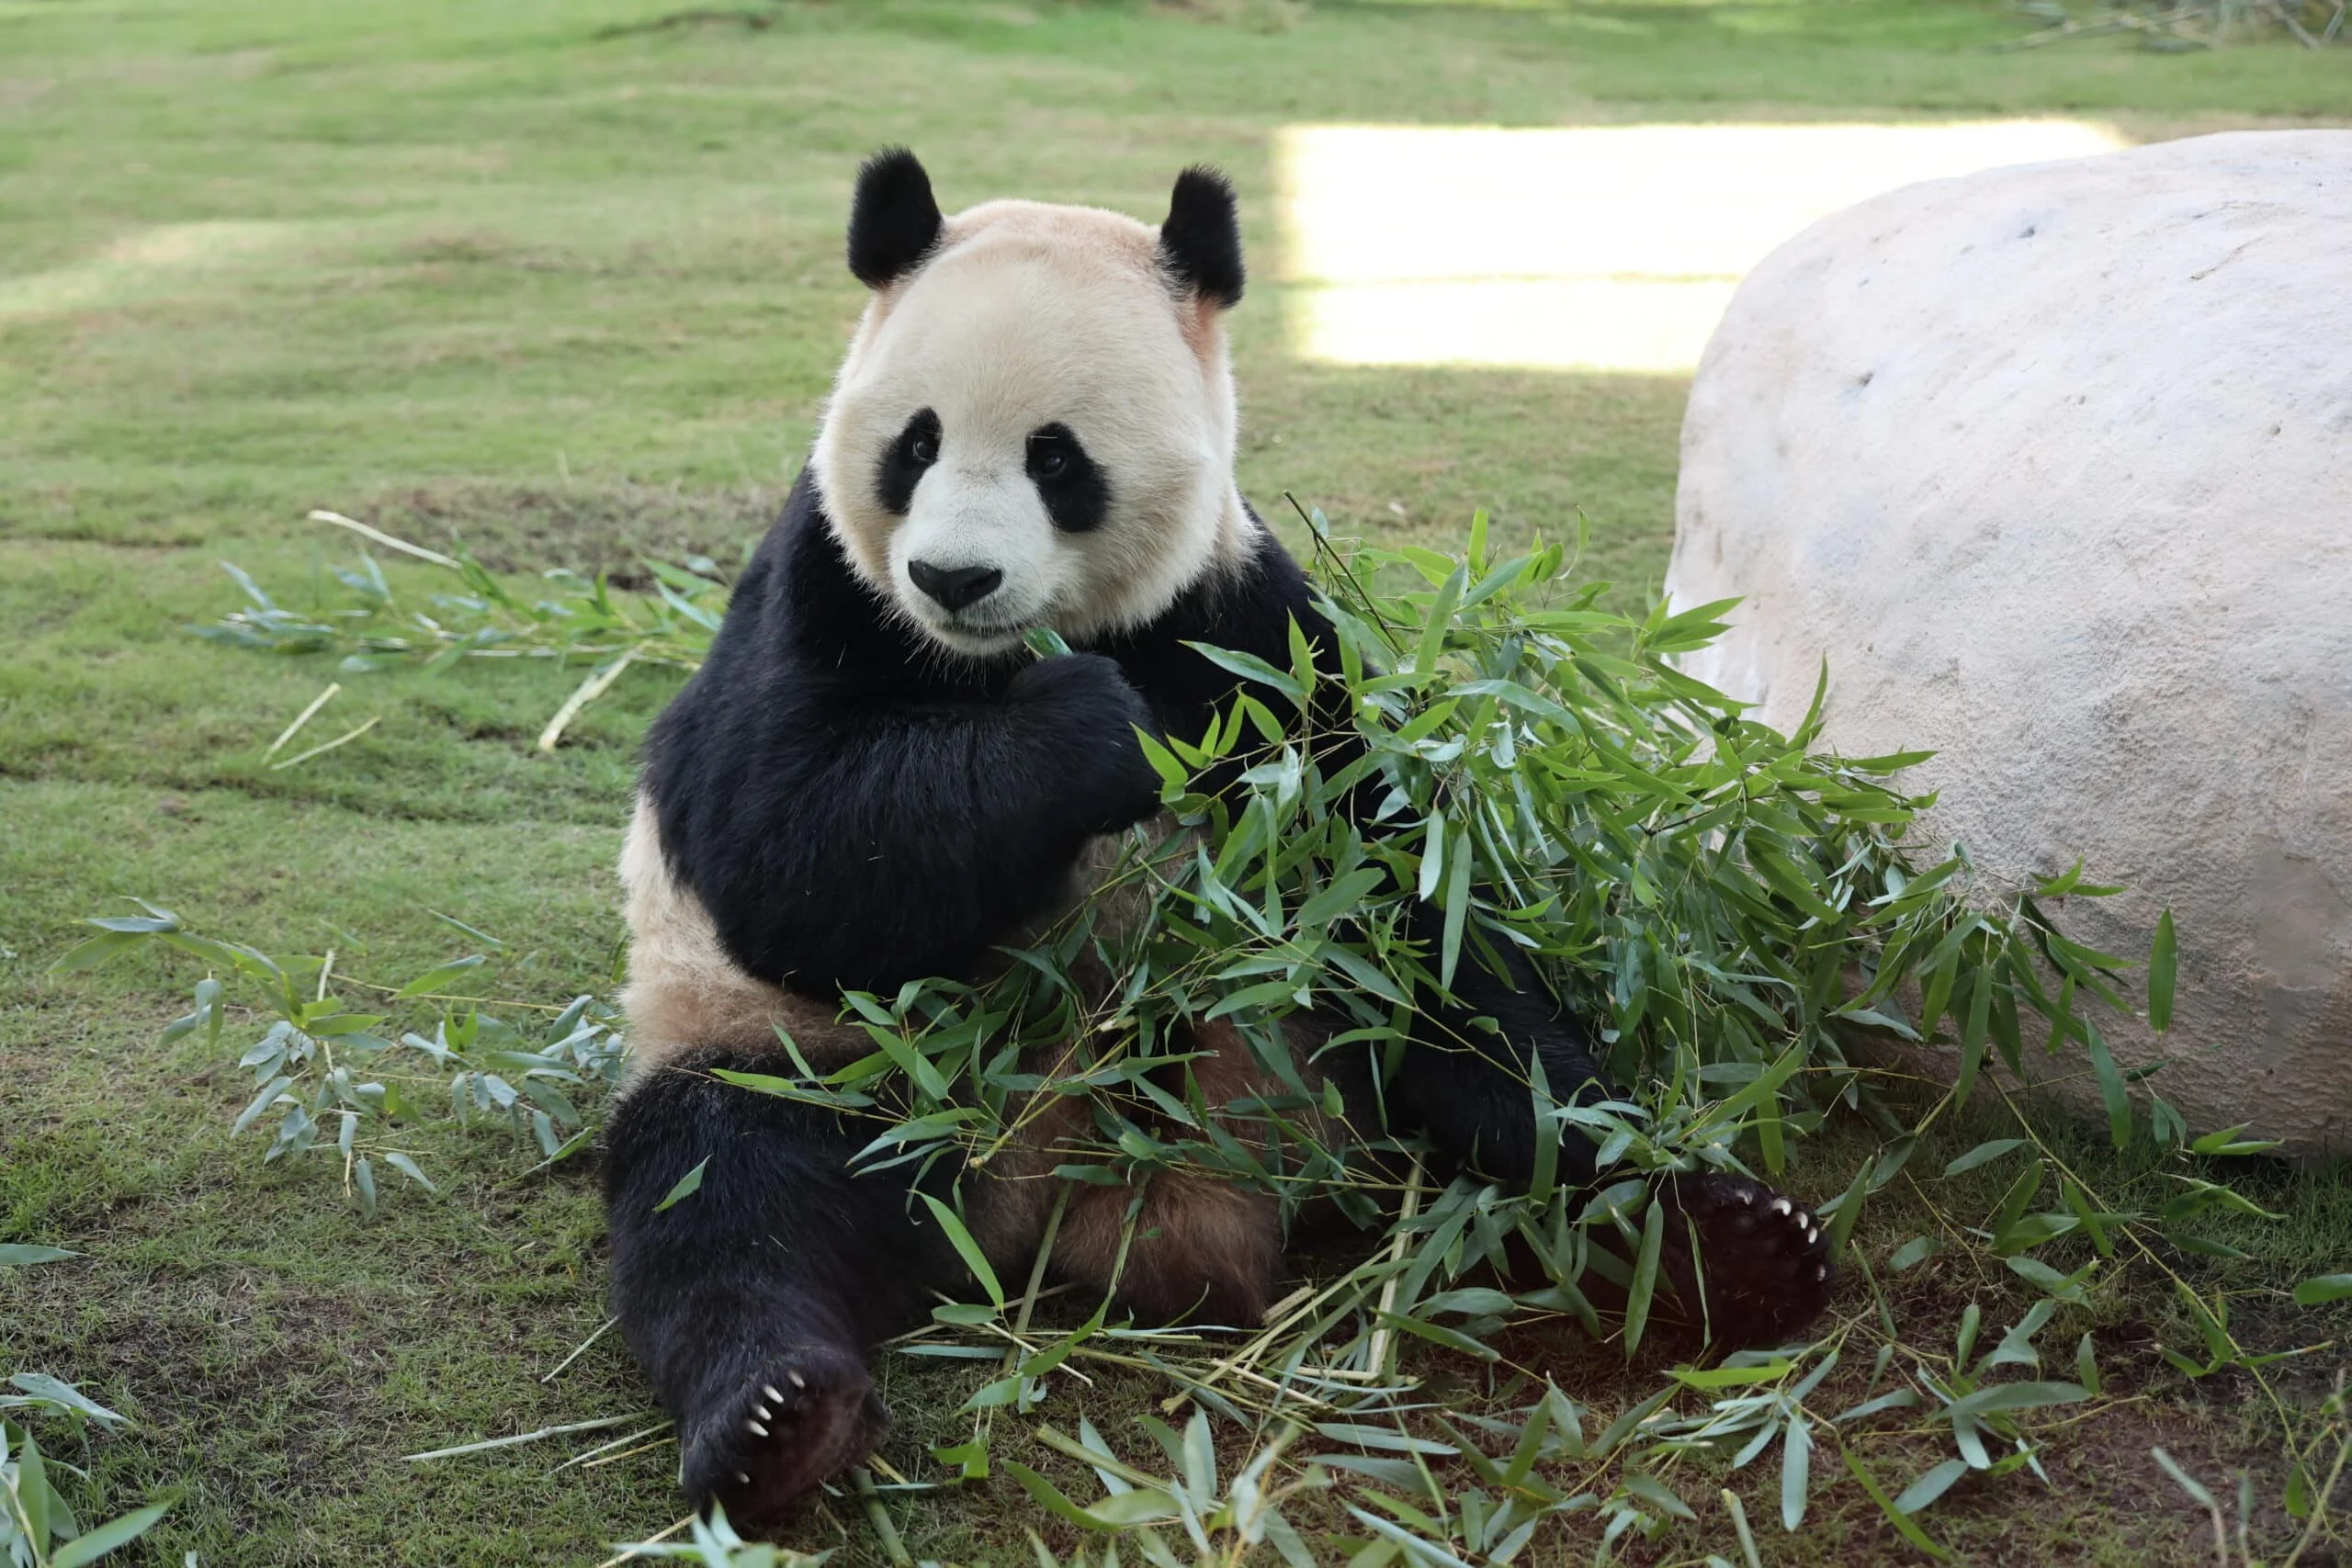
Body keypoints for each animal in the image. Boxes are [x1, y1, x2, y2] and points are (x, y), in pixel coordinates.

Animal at [602, 148, 1835, 1528]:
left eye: (1056, 458)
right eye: (914, 444)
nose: (954, 580)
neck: (999, 657)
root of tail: (1067, 1213)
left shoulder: (1252, 630)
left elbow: (1402, 874)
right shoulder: (822, 591)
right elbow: (784, 852)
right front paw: (1088, 733)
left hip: (1319, 1062)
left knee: (1496, 1096)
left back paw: (1721, 1242)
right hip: (823, 1066)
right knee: (731, 1199)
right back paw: (778, 1418)